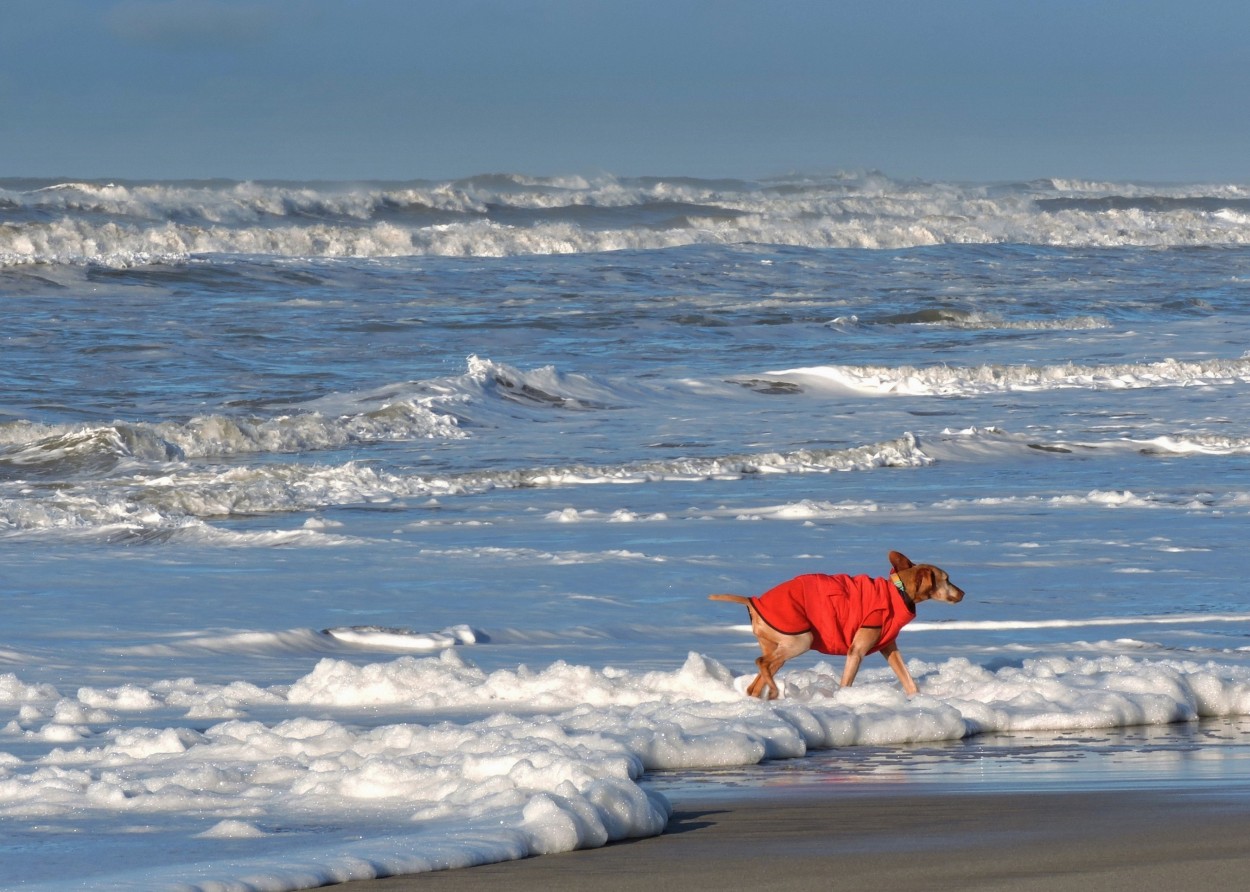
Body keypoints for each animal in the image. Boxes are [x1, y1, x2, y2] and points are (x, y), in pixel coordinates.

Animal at [710, 549, 960, 694]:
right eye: (947, 579)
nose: (963, 593)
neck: (898, 593)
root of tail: (753, 602)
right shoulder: (856, 651)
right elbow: (846, 683)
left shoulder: (889, 648)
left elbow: (909, 681)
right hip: (801, 639)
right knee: (761, 662)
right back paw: (773, 692)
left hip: (780, 648)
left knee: (755, 684)